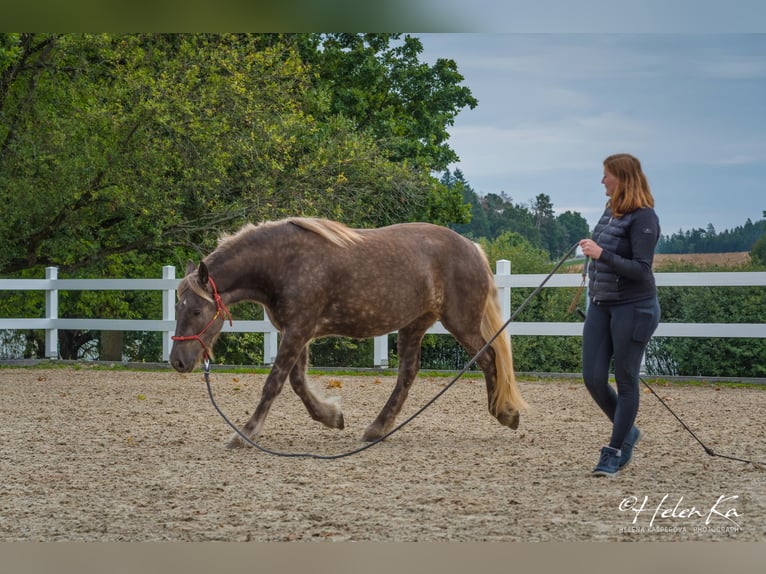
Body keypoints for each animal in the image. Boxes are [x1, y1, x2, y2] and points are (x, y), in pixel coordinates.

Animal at [169, 217, 528, 448]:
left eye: (196, 311)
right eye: (177, 307)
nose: (178, 361)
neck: (284, 261)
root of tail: (472, 248)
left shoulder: (298, 330)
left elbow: (274, 383)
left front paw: (245, 433)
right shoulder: (296, 331)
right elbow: (297, 382)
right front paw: (331, 416)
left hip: (461, 322)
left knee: (489, 357)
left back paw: (505, 414)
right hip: (414, 324)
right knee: (407, 373)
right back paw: (377, 429)